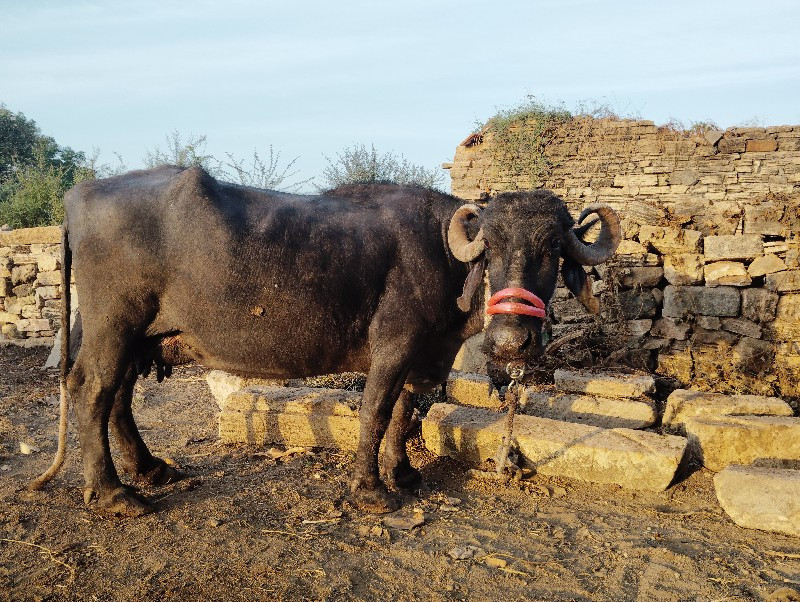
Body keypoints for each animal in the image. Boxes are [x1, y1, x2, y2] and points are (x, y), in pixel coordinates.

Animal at [29, 166, 620, 512]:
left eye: (553, 250)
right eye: (491, 245)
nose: (512, 341)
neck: (441, 256)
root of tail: (78, 197)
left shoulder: (426, 355)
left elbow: (406, 410)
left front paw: (402, 472)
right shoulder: (393, 347)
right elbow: (376, 411)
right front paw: (372, 490)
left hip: (134, 334)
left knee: (118, 396)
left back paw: (149, 468)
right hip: (114, 324)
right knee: (92, 390)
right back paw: (113, 493)